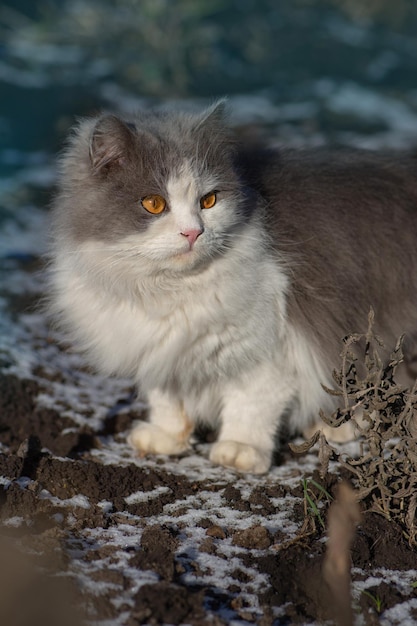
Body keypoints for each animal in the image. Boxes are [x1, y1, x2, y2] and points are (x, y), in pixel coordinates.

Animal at [49, 102, 417, 472]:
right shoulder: (162, 352)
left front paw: (240, 451)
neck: (167, 289)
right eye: (154, 204)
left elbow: (251, 406)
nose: (193, 232)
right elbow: (167, 402)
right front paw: (166, 438)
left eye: (209, 201)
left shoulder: (268, 351)